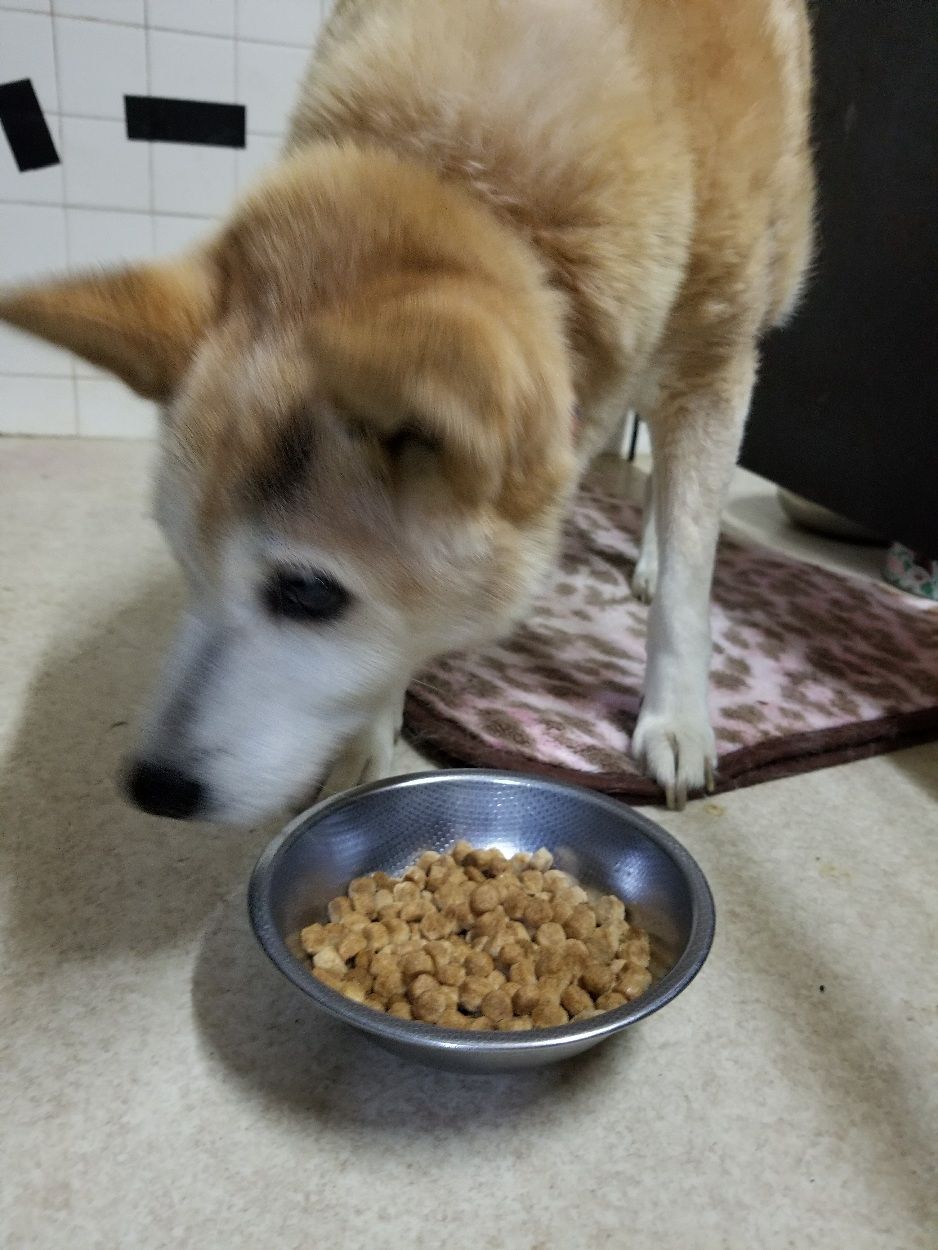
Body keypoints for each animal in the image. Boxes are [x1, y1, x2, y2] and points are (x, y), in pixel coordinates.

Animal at [0, 0, 814, 822]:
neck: (475, 185)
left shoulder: (713, 369)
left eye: (308, 594)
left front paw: (676, 718)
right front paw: (366, 735)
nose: (152, 788)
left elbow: (688, 581)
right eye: (183, 559)